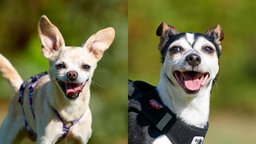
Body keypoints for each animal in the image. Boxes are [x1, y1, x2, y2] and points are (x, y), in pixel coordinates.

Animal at [0, 15, 115, 143]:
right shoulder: (45, 139)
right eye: (60, 66)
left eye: (86, 67)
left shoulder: (81, 140)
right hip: (8, 135)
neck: (70, 108)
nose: (72, 74)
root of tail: (19, 90)